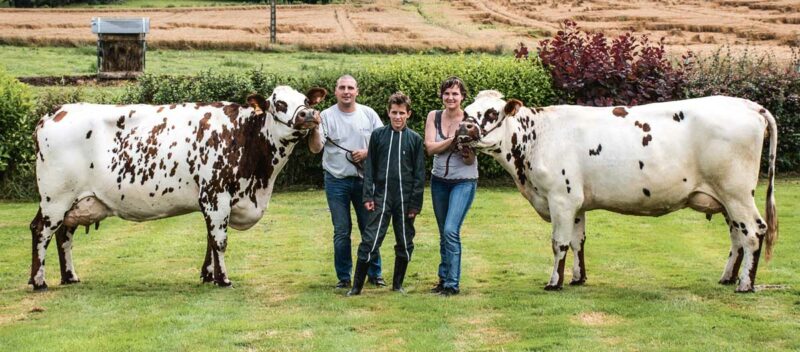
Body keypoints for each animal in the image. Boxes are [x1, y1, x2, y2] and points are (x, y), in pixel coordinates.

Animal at [28, 84, 324, 288]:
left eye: (306, 100)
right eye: (280, 103)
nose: (309, 114)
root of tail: (53, 114)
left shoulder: (214, 201)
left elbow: (209, 240)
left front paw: (209, 276)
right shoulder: (216, 196)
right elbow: (219, 240)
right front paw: (224, 280)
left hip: (73, 202)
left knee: (63, 234)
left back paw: (70, 276)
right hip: (56, 198)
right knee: (41, 230)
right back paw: (39, 281)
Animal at [460, 91, 780, 292]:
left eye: (491, 113)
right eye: (465, 112)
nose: (463, 131)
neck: (538, 136)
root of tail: (749, 106)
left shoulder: (561, 199)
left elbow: (559, 244)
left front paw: (554, 282)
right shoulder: (577, 204)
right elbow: (577, 242)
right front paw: (578, 278)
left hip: (736, 192)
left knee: (753, 231)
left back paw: (745, 285)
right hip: (726, 199)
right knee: (737, 236)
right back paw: (728, 278)